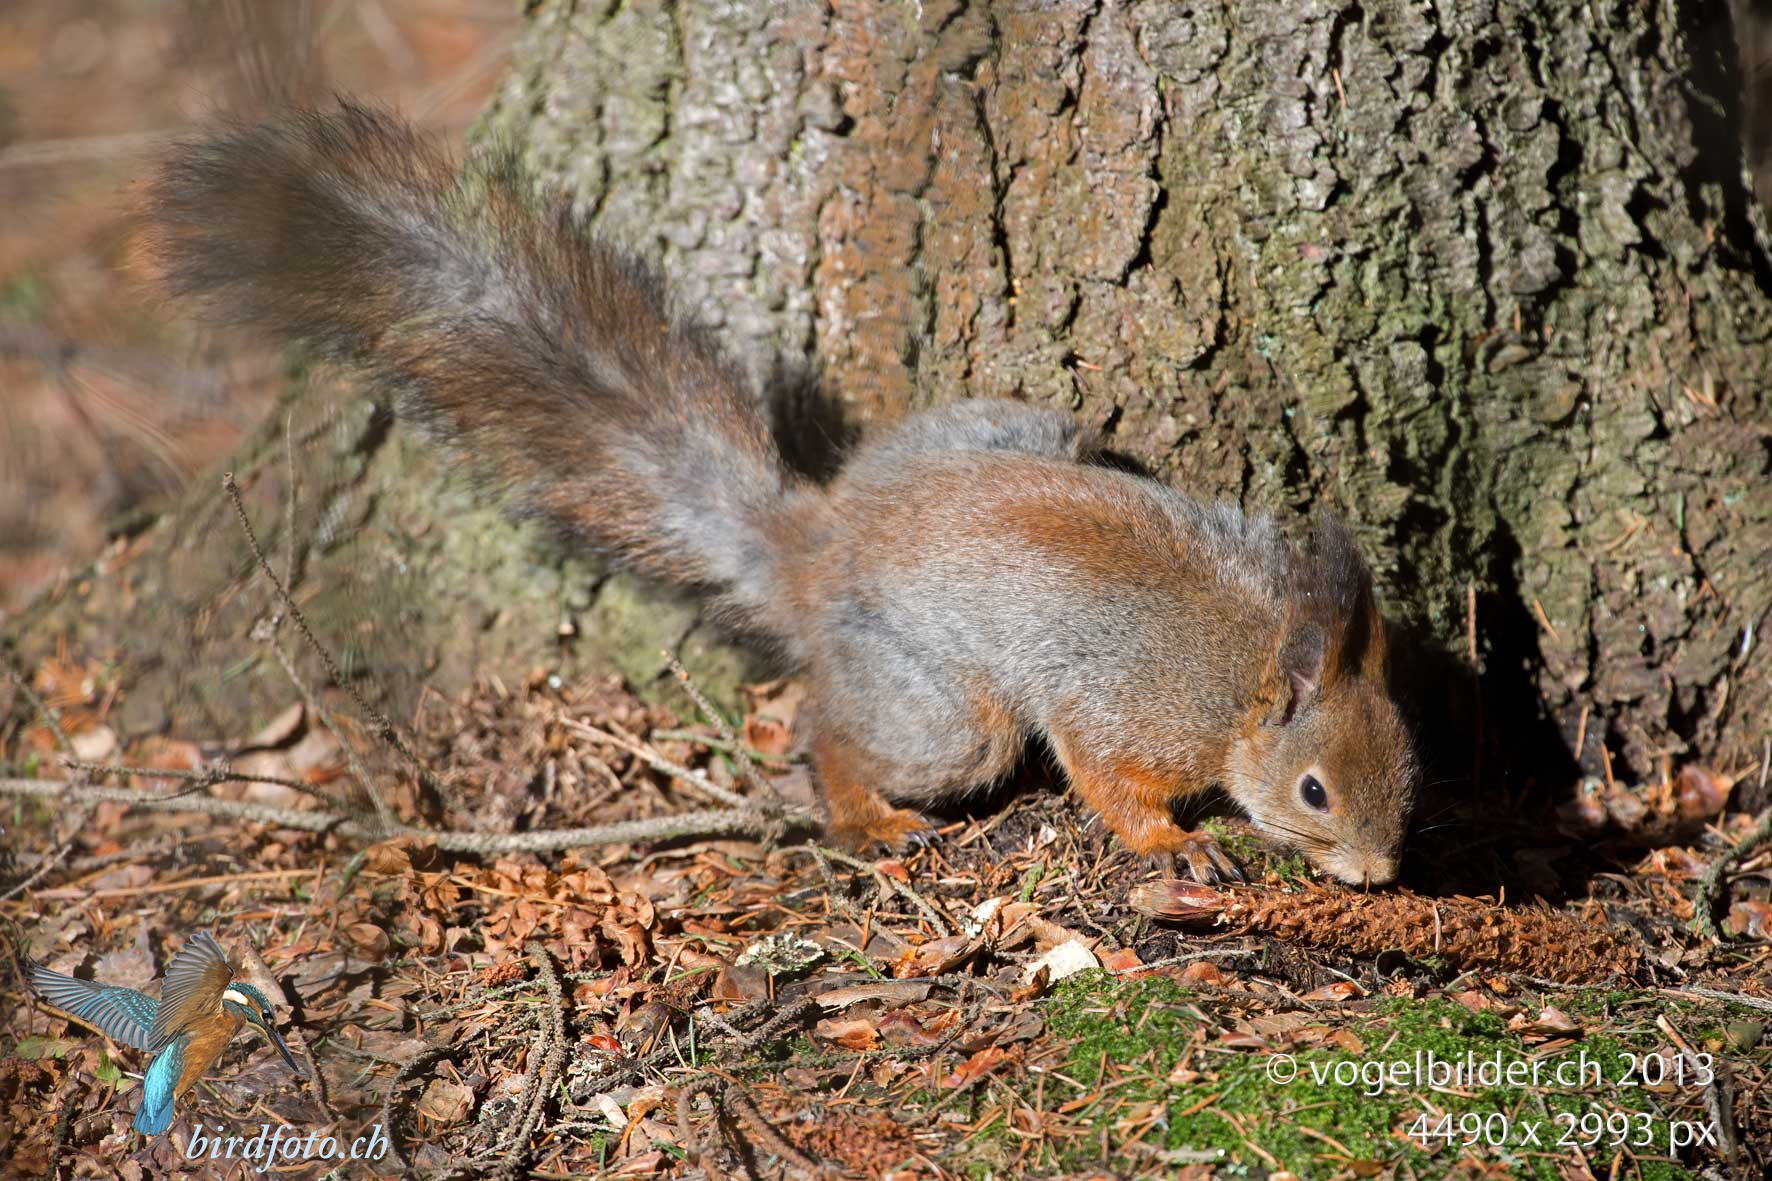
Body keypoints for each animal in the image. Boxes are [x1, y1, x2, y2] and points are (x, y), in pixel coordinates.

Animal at [146, 103, 1417, 885]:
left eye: (1408, 764)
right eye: (1312, 790)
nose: (1379, 872)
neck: (1248, 661)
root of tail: (821, 540)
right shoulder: (1127, 709)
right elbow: (1107, 779)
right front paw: (1168, 848)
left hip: (1017, 426)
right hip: (941, 709)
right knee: (838, 734)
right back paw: (867, 815)